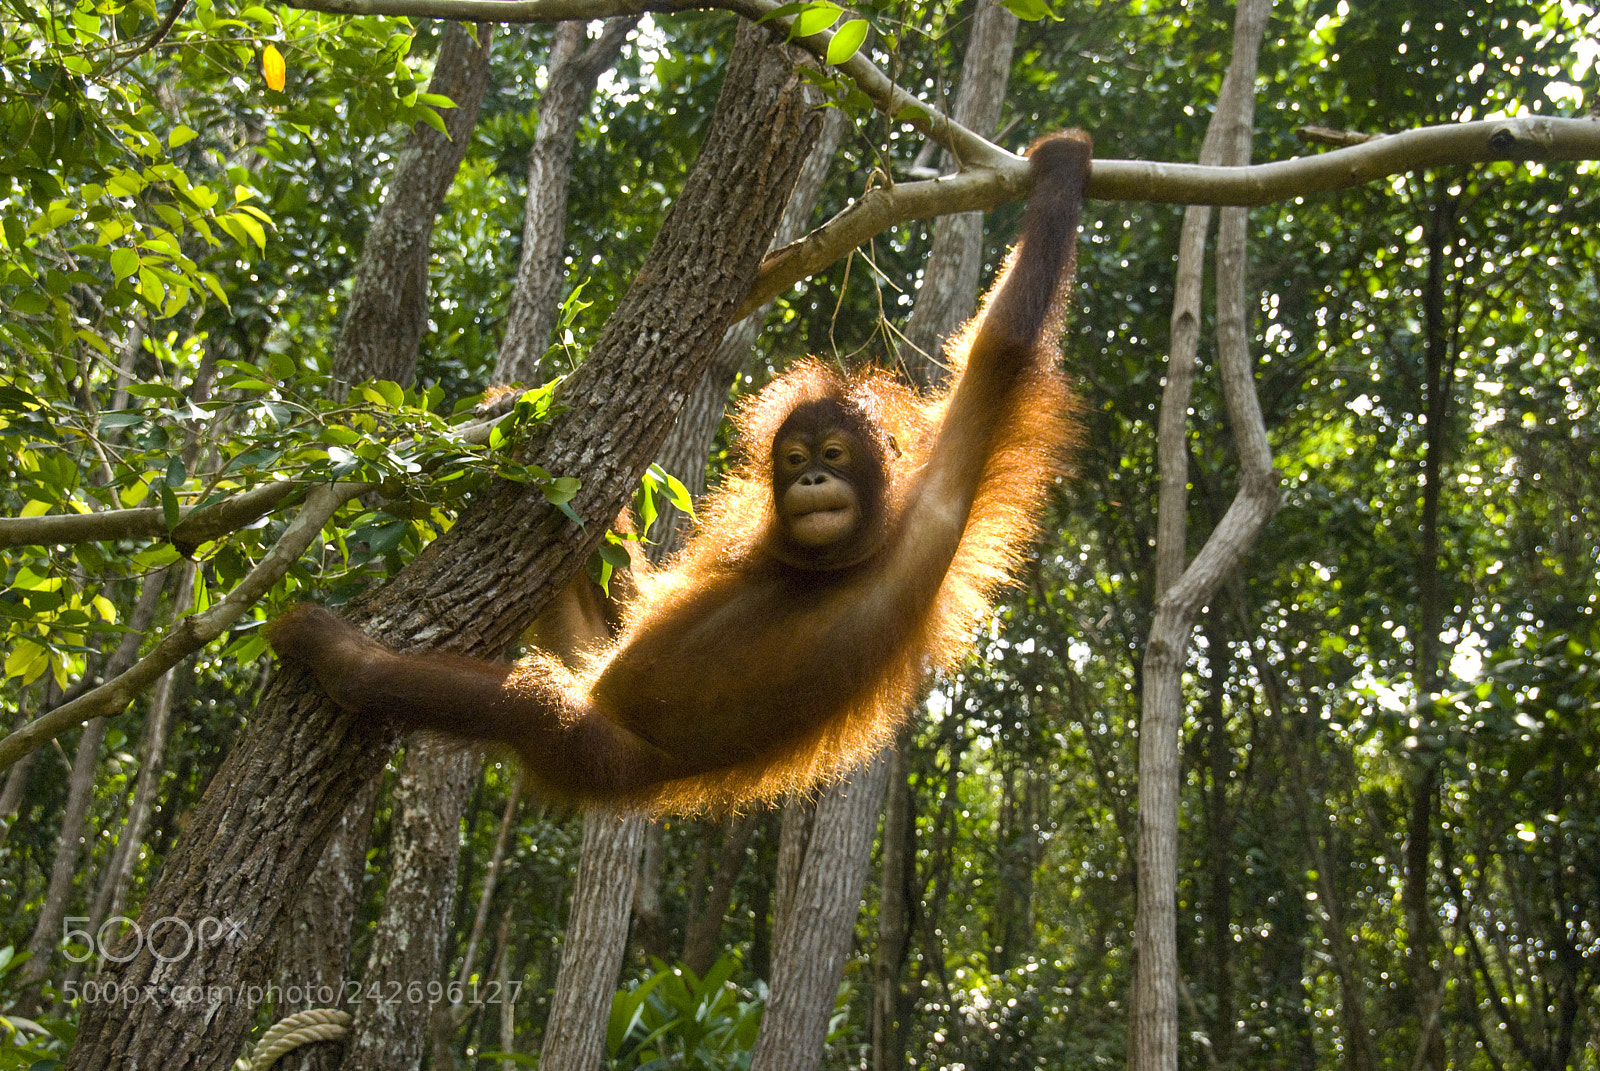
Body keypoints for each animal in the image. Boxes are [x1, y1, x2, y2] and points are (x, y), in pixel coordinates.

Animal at [269, 130, 1092, 813]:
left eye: (833, 456)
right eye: (794, 460)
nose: (811, 482)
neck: (831, 561)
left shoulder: (940, 502)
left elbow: (1002, 350)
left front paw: (1064, 168)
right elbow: (638, 596)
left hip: (606, 757)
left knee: (534, 709)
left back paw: (343, 660)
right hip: (600, 681)